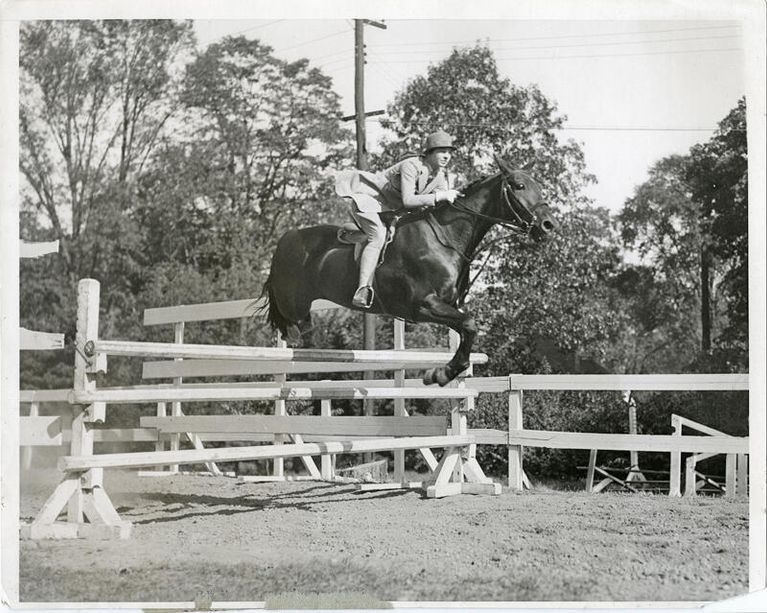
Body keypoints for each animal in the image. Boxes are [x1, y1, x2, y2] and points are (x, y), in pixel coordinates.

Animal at [261, 155, 557, 386]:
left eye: (539, 187)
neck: (446, 237)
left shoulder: (448, 305)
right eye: (519, 186)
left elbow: (466, 329)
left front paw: (442, 372)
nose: (548, 225)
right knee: (288, 325)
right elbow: (470, 325)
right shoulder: (423, 305)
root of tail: (285, 238)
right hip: (293, 303)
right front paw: (442, 373)